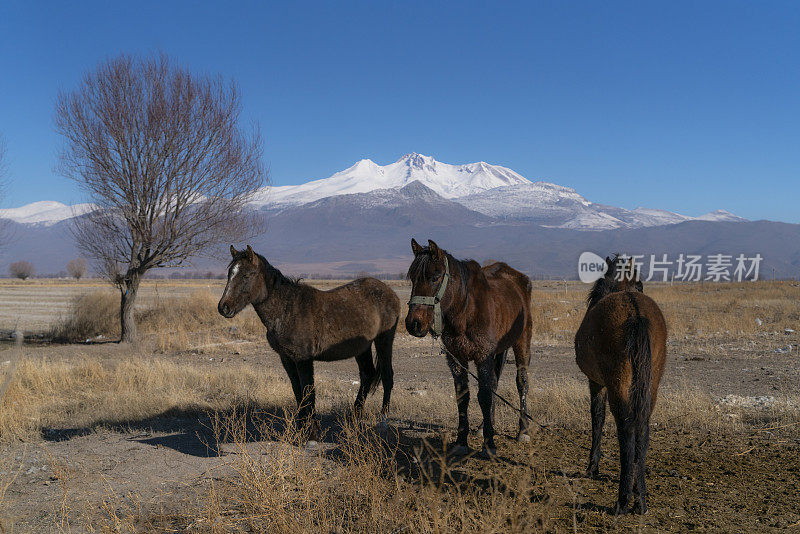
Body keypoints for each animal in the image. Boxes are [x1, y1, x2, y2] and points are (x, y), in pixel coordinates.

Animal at [216, 245, 400, 442]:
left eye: (246, 275)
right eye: (230, 273)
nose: (224, 307)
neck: (286, 310)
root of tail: (390, 292)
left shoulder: (303, 359)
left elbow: (307, 391)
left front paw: (311, 433)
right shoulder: (287, 359)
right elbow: (298, 392)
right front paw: (301, 430)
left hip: (384, 340)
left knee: (387, 376)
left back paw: (382, 423)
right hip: (362, 348)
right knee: (367, 375)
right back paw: (353, 419)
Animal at [406, 239, 532, 456]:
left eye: (435, 276)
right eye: (412, 278)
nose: (413, 324)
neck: (465, 311)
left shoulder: (483, 357)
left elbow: (484, 396)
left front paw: (489, 445)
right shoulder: (456, 359)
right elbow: (463, 396)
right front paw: (461, 440)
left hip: (522, 341)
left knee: (521, 381)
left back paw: (523, 429)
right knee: (494, 383)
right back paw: (483, 426)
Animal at [576, 255, 668, 516]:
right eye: (641, 283)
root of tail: (634, 313)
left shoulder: (596, 383)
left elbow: (597, 418)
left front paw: (592, 467)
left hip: (618, 384)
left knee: (626, 428)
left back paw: (623, 500)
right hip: (650, 383)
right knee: (642, 427)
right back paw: (640, 497)